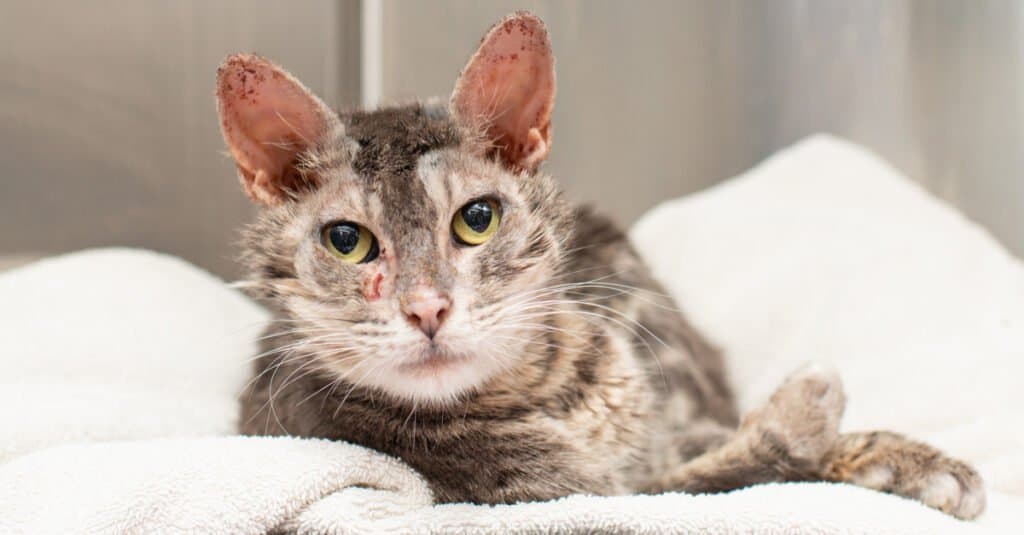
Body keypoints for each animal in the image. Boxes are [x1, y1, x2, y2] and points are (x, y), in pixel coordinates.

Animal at [222, 11, 983, 516]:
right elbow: (744, 463)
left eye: (476, 219)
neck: (552, 395)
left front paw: (911, 459)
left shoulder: (664, 439)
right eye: (346, 240)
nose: (427, 307)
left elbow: (741, 446)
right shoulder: (588, 497)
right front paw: (812, 407)